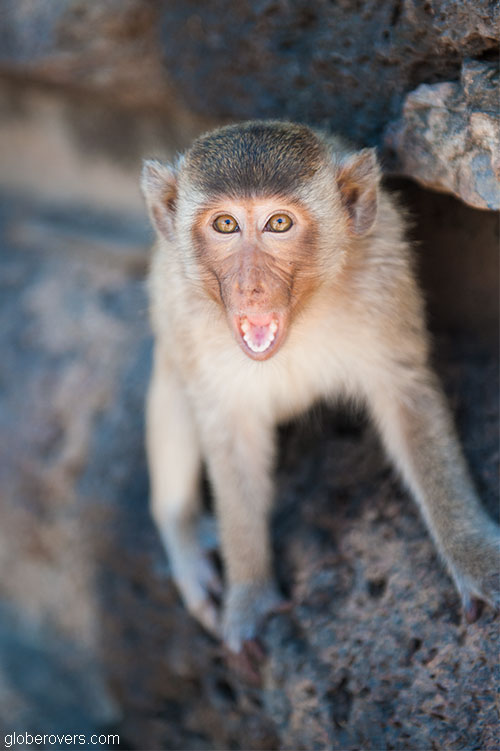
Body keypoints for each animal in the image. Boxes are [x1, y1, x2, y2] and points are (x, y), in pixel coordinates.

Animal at [141, 120, 499, 654]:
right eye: (225, 225)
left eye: (278, 224)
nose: (250, 287)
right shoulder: (182, 307)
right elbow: (231, 438)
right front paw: (250, 595)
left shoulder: (381, 270)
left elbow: (405, 397)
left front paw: (473, 555)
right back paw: (181, 534)